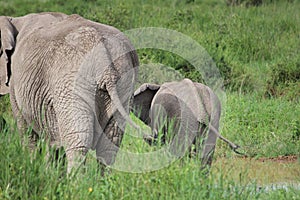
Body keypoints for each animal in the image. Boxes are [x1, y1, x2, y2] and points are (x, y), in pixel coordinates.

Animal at [0, 11, 138, 173]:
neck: (14, 21)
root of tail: (102, 52)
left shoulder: (16, 86)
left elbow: (27, 132)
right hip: (122, 82)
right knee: (110, 144)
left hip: (71, 83)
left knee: (78, 142)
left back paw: (75, 180)